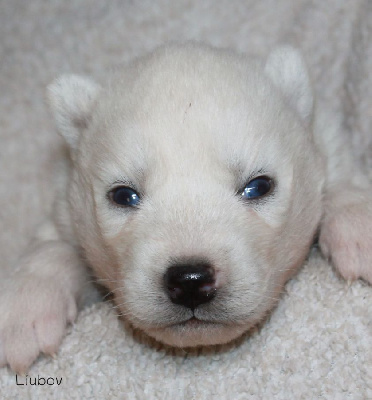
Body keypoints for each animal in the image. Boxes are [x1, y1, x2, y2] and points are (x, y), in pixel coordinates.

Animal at [0, 43, 372, 372]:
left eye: (259, 186)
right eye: (123, 195)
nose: (191, 281)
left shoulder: (327, 144)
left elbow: (342, 183)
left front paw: (359, 229)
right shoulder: (66, 203)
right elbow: (52, 245)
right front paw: (23, 313)